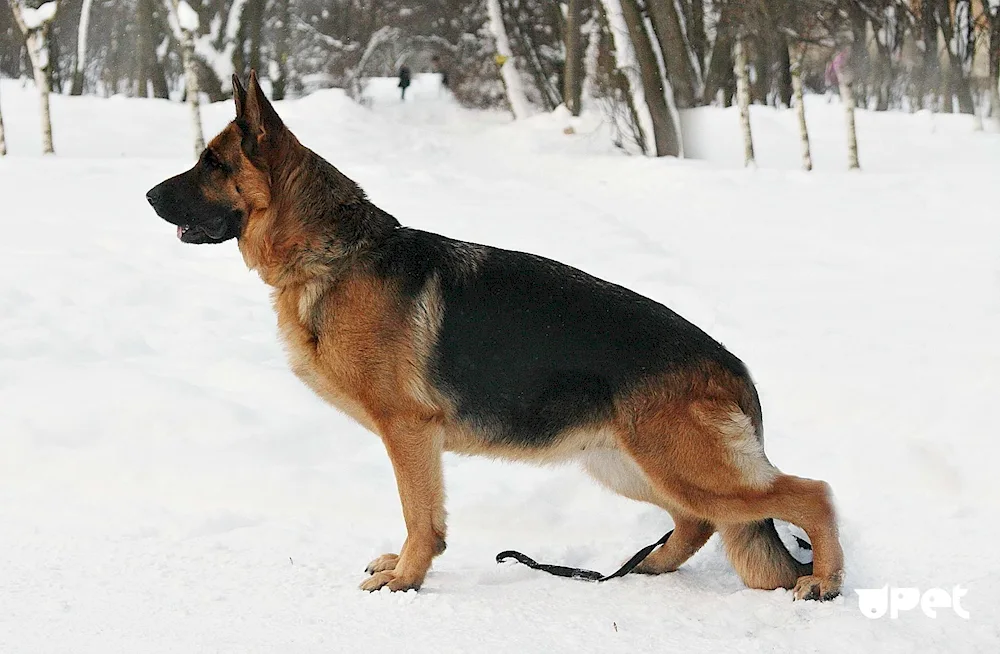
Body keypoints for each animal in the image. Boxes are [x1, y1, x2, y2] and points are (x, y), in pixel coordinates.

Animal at [143, 74, 844, 604]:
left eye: (211, 164)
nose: (147, 195)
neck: (333, 252)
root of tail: (734, 368)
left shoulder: (408, 430)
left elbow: (420, 514)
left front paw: (408, 578)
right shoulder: (416, 439)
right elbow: (423, 514)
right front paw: (405, 568)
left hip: (682, 466)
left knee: (812, 494)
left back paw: (823, 581)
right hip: (630, 464)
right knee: (699, 520)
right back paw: (643, 569)